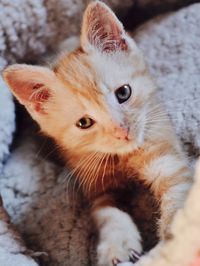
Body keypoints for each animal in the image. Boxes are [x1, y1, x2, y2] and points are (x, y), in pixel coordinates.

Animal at [1, 1, 192, 264]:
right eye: (84, 122)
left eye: (124, 93)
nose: (122, 132)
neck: (122, 155)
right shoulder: (93, 181)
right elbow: (106, 211)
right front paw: (117, 244)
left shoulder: (166, 156)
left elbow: (178, 197)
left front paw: (174, 244)